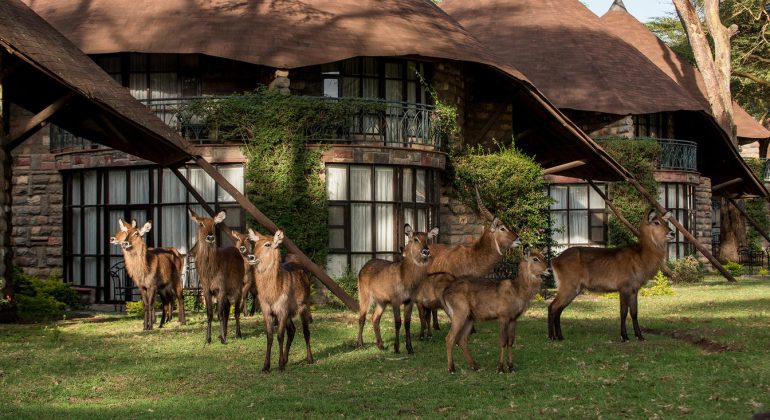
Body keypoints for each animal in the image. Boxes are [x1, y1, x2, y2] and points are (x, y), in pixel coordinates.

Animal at [188, 210, 243, 344]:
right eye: (201, 223)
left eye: (213, 224)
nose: (210, 237)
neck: (209, 272)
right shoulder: (206, 291)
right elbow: (210, 314)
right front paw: (208, 339)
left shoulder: (221, 289)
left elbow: (219, 314)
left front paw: (223, 339)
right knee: (227, 309)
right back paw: (225, 334)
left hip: (239, 288)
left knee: (237, 310)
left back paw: (238, 334)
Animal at [249, 228, 316, 372]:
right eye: (255, 244)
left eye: (267, 244)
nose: (251, 257)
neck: (272, 293)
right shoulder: (268, 311)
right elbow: (269, 337)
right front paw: (266, 366)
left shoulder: (283, 311)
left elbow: (280, 336)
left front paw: (279, 365)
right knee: (292, 330)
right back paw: (286, 360)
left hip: (304, 306)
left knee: (306, 331)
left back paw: (310, 359)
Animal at [544, 208, 672, 342]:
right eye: (657, 222)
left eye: (665, 222)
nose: (672, 233)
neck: (640, 256)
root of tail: (555, 260)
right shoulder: (624, 288)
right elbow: (623, 312)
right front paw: (624, 336)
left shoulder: (634, 289)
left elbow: (634, 312)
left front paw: (640, 336)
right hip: (568, 287)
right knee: (552, 307)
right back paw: (551, 337)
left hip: (574, 290)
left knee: (559, 309)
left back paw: (560, 337)